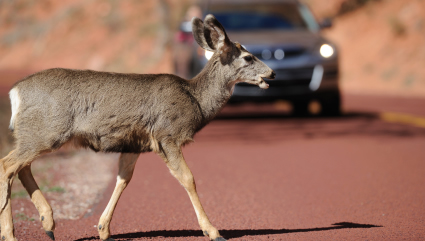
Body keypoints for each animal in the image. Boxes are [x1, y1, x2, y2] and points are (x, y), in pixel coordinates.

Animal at [0, 15, 274, 241]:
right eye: (248, 57)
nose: (271, 74)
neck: (195, 100)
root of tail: (15, 92)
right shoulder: (167, 135)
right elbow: (188, 179)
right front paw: (213, 231)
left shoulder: (134, 144)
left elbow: (123, 179)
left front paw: (104, 230)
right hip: (46, 132)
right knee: (7, 165)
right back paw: (11, 234)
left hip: (37, 135)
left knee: (21, 167)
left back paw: (48, 222)